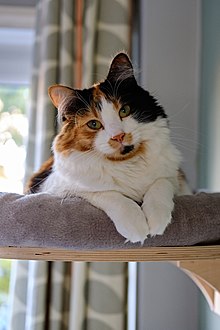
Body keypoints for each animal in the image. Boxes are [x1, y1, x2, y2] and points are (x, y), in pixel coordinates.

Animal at [26, 53, 190, 242]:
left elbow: (161, 183)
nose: (118, 136)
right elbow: (110, 194)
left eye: (124, 111)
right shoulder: (59, 187)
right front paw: (136, 225)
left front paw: (157, 218)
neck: (127, 164)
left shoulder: (175, 179)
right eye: (94, 124)